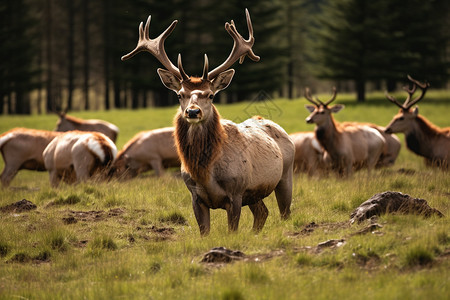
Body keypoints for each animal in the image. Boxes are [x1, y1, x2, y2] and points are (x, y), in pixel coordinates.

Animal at [121, 9, 296, 236]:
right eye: (180, 94)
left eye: (211, 95)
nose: (193, 111)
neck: (206, 173)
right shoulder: (195, 197)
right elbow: (204, 232)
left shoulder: (236, 193)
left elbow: (232, 230)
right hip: (254, 193)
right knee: (262, 212)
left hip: (285, 175)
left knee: (285, 212)